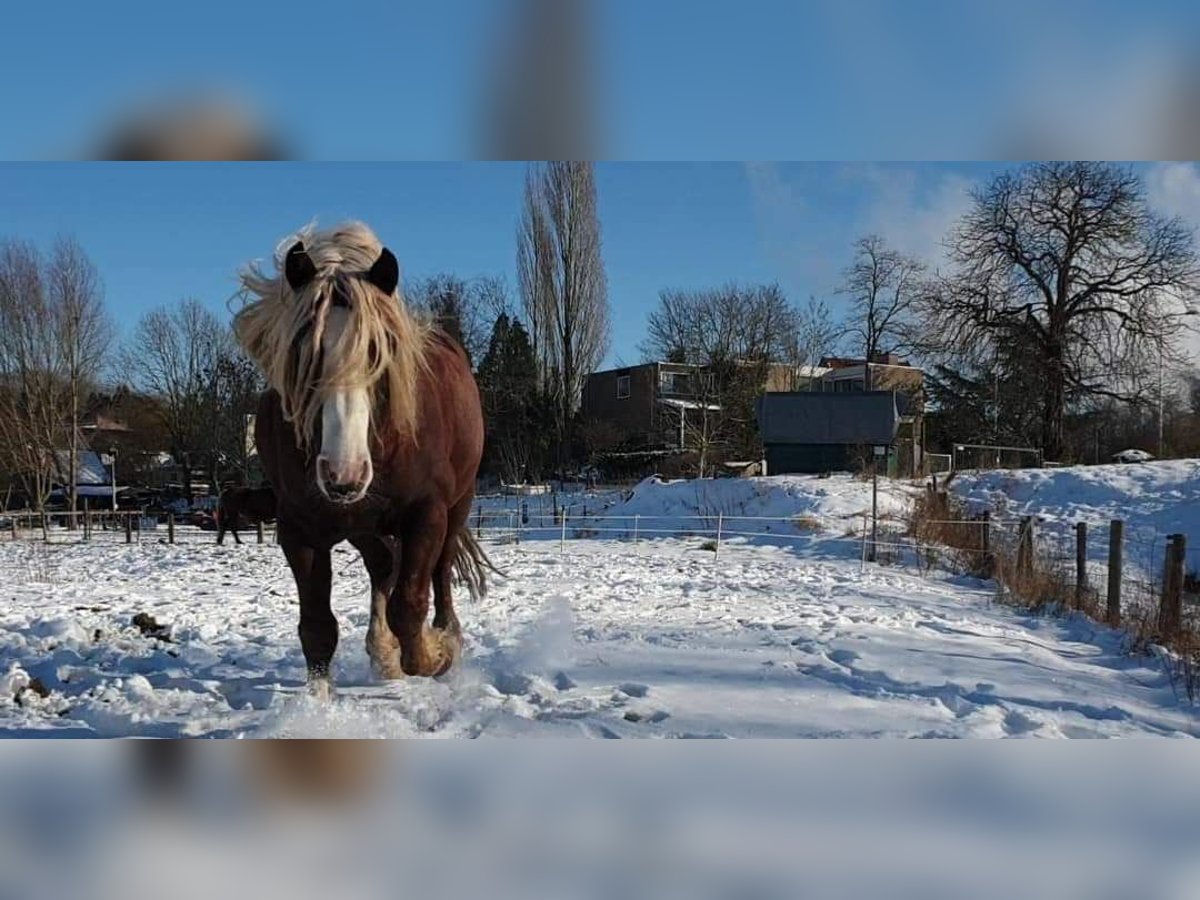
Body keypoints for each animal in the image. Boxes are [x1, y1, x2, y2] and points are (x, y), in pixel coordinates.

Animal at [234, 222, 487, 696]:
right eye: (303, 350)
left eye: (379, 350)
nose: (343, 474)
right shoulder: (300, 530)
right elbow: (317, 629)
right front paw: (319, 708)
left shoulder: (427, 512)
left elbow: (410, 605)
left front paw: (433, 655)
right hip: (361, 525)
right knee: (382, 565)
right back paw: (383, 651)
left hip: (457, 506)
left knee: (440, 572)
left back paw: (445, 640)